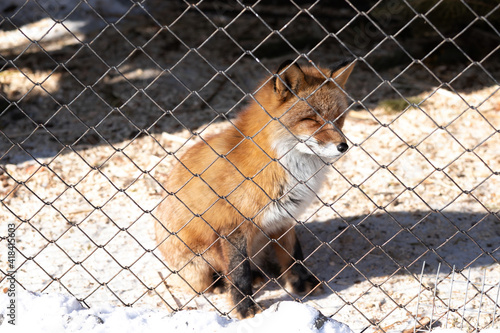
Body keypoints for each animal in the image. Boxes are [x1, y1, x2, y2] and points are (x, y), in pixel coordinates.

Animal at [154, 58, 354, 318]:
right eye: (312, 119)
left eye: (339, 118)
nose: (344, 146)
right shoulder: (233, 226)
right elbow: (239, 273)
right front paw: (244, 307)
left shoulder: (284, 219)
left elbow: (294, 256)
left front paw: (301, 283)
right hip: (198, 261)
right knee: (210, 280)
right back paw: (223, 284)